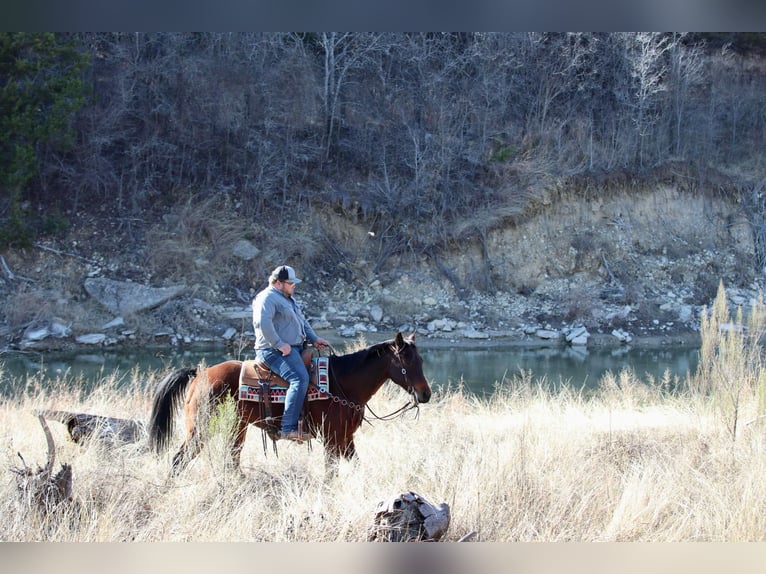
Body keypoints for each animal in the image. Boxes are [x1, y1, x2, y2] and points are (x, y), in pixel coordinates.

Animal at [147, 332, 428, 476]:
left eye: (421, 359)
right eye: (407, 360)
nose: (425, 394)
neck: (342, 382)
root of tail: (200, 374)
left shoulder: (345, 439)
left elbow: (358, 467)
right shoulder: (331, 438)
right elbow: (331, 472)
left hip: (237, 428)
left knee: (231, 460)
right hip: (200, 429)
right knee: (178, 460)